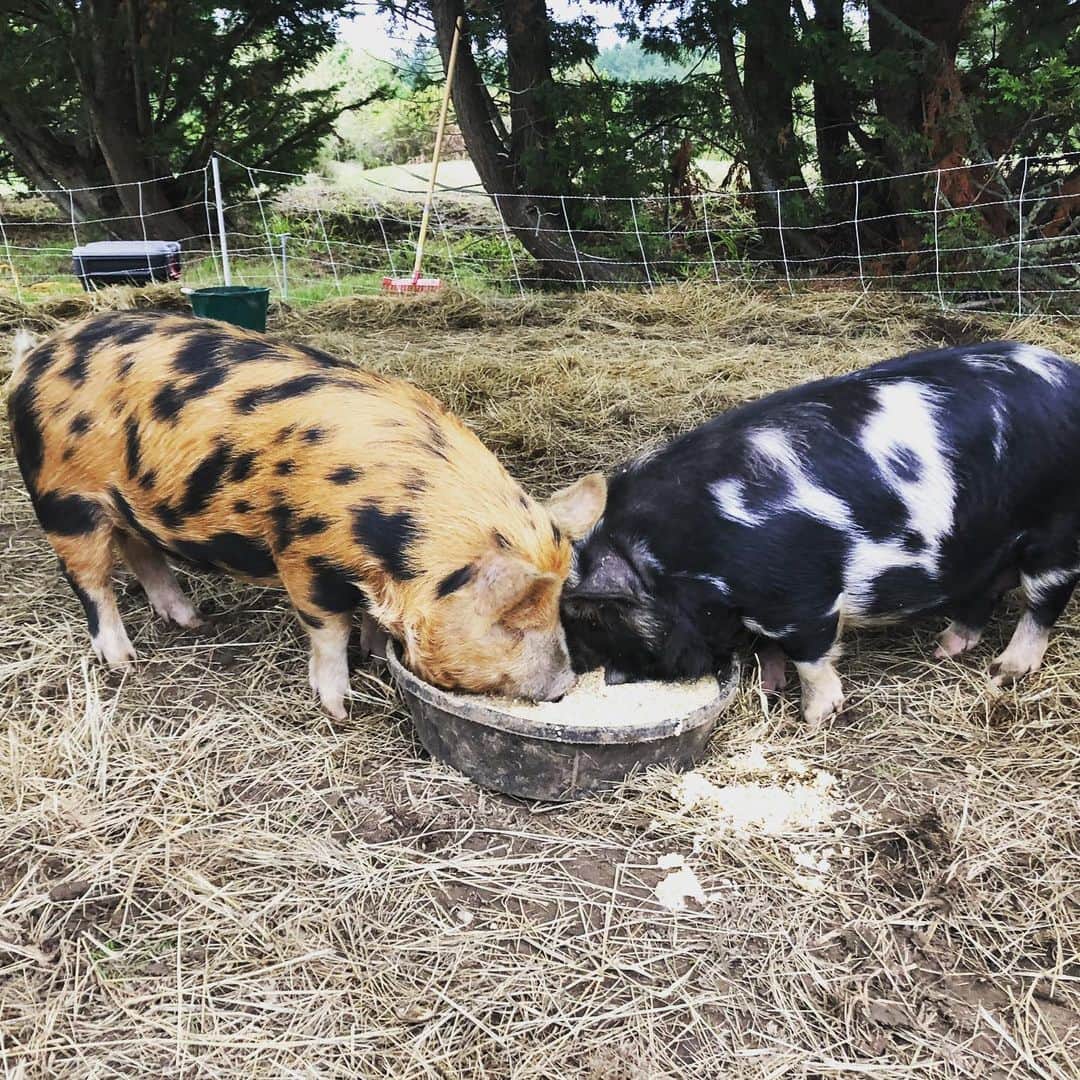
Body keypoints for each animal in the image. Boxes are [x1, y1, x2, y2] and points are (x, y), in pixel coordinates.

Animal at [7, 311, 605, 718]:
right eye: (512, 621)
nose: (563, 688)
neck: (393, 534)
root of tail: (34, 355)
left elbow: (369, 618)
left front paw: (375, 650)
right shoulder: (302, 554)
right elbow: (328, 627)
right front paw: (340, 706)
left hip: (128, 504)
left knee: (141, 552)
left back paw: (191, 619)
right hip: (62, 500)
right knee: (91, 582)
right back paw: (124, 661)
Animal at [561, 342, 1080, 725]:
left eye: (596, 618)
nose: (603, 678)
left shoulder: (799, 599)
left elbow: (809, 655)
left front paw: (815, 717)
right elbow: (765, 646)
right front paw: (769, 686)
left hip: (1055, 534)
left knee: (1042, 603)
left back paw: (1004, 672)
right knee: (984, 591)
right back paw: (945, 649)